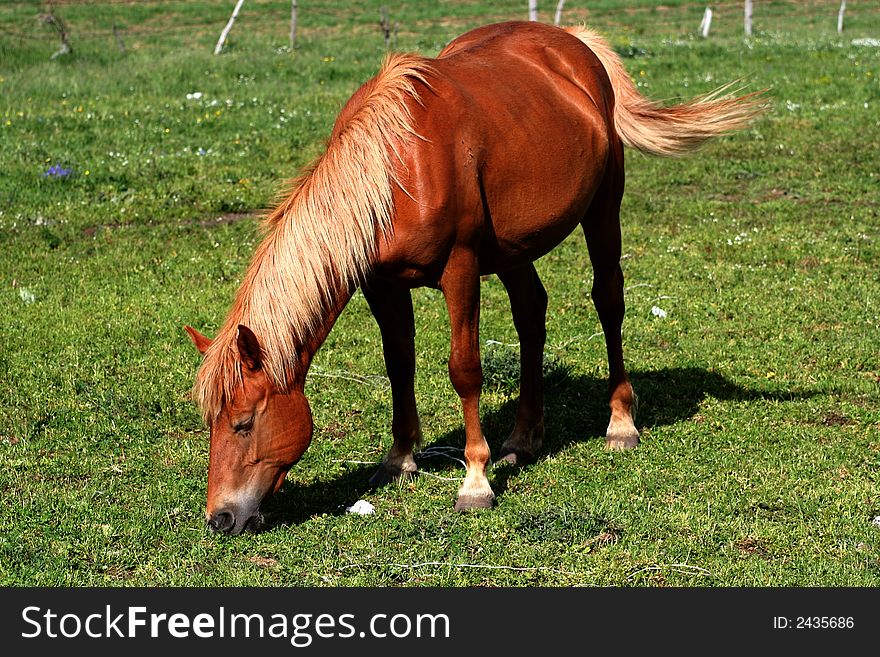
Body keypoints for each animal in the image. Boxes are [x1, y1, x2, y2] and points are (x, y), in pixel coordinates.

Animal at [186, 20, 764, 532]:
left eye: (243, 422)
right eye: (210, 422)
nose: (221, 518)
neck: (397, 168)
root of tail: (574, 43)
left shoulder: (460, 270)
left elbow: (464, 369)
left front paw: (475, 482)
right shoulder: (381, 283)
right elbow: (399, 363)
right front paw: (400, 458)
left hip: (603, 210)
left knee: (609, 302)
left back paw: (620, 423)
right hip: (514, 249)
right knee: (532, 315)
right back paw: (524, 439)